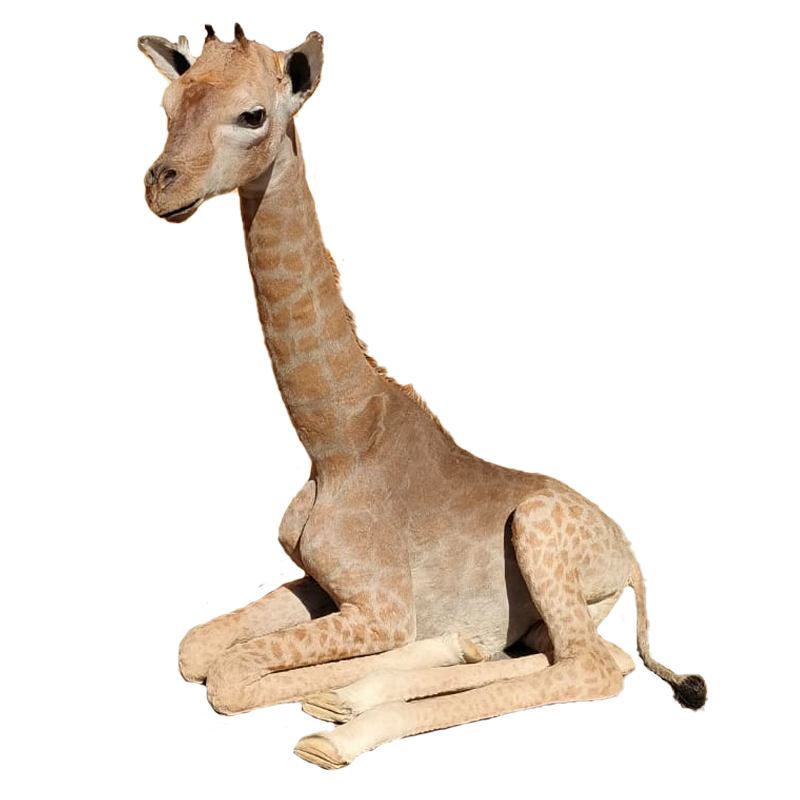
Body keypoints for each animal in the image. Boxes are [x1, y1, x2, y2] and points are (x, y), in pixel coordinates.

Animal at [140, 26, 708, 769]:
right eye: (167, 103)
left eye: (254, 114)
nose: (160, 185)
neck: (338, 443)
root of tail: (636, 567)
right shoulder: (321, 582)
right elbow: (197, 647)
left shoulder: (384, 607)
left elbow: (232, 671)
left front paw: (335, 700)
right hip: (567, 610)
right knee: (574, 654)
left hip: (538, 532)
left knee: (589, 667)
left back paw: (344, 726)